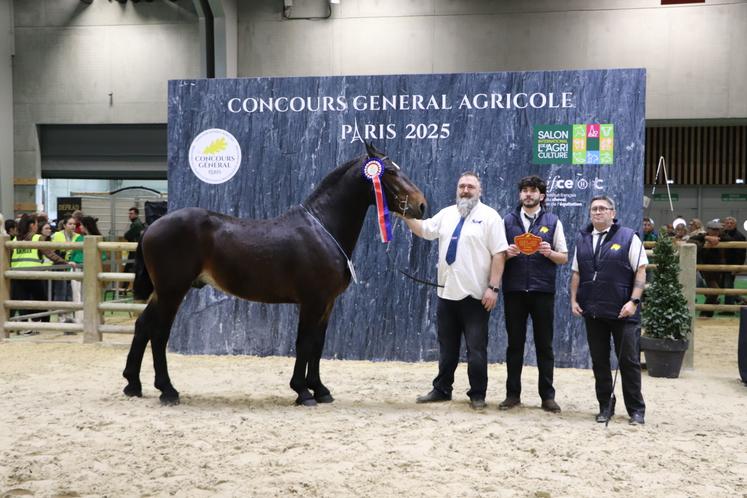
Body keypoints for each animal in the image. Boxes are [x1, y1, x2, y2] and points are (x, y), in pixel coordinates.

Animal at [122, 142, 426, 406]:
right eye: (390, 172)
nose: (421, 205)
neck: (322, 228)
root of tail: (153, 226)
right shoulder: (312, 302)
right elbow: (304, 343)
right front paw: (302, 392)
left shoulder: (327, 303)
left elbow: (317, 344)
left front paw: (321, 390)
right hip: (172, 291)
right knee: (159, 333)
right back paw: (167, 391)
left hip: (163, 292)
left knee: (143, 326)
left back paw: (133, 385)